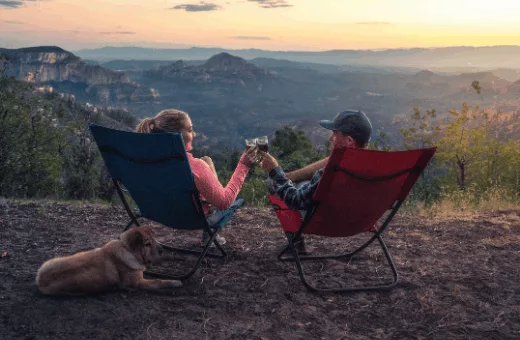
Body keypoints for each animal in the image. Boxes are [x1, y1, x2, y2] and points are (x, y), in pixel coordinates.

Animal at [34, 226, 181, 294]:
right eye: (147, 244)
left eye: (154, 240)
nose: (162, 250)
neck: (128, 250)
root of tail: (41, 280)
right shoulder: (140, 282)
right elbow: (159, 281)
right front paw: (175, 282)